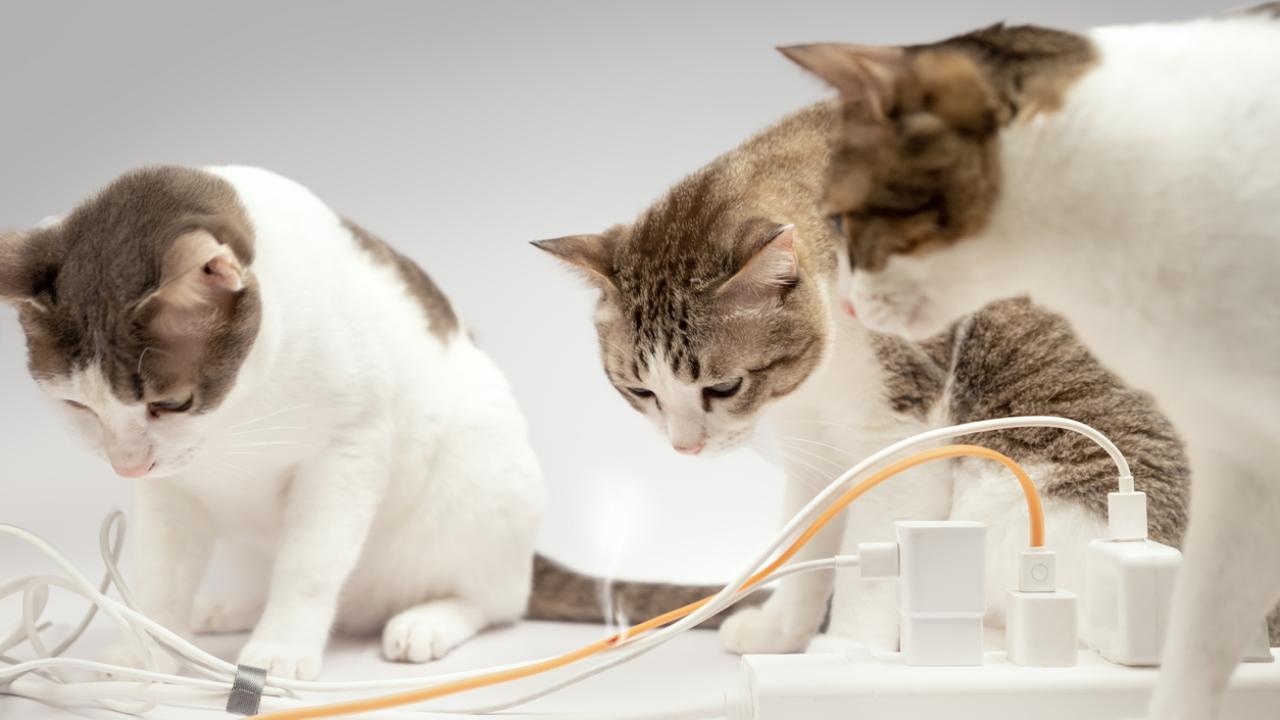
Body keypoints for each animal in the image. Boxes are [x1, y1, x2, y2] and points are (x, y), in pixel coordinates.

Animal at [535, 102, 1192, 655]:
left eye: (722, 387)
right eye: (640, 391)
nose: (684, 447)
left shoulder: (896, 438)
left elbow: (874, 568)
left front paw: (846, 652)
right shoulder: (815, 454)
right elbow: (804, 550)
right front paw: (781, 633)